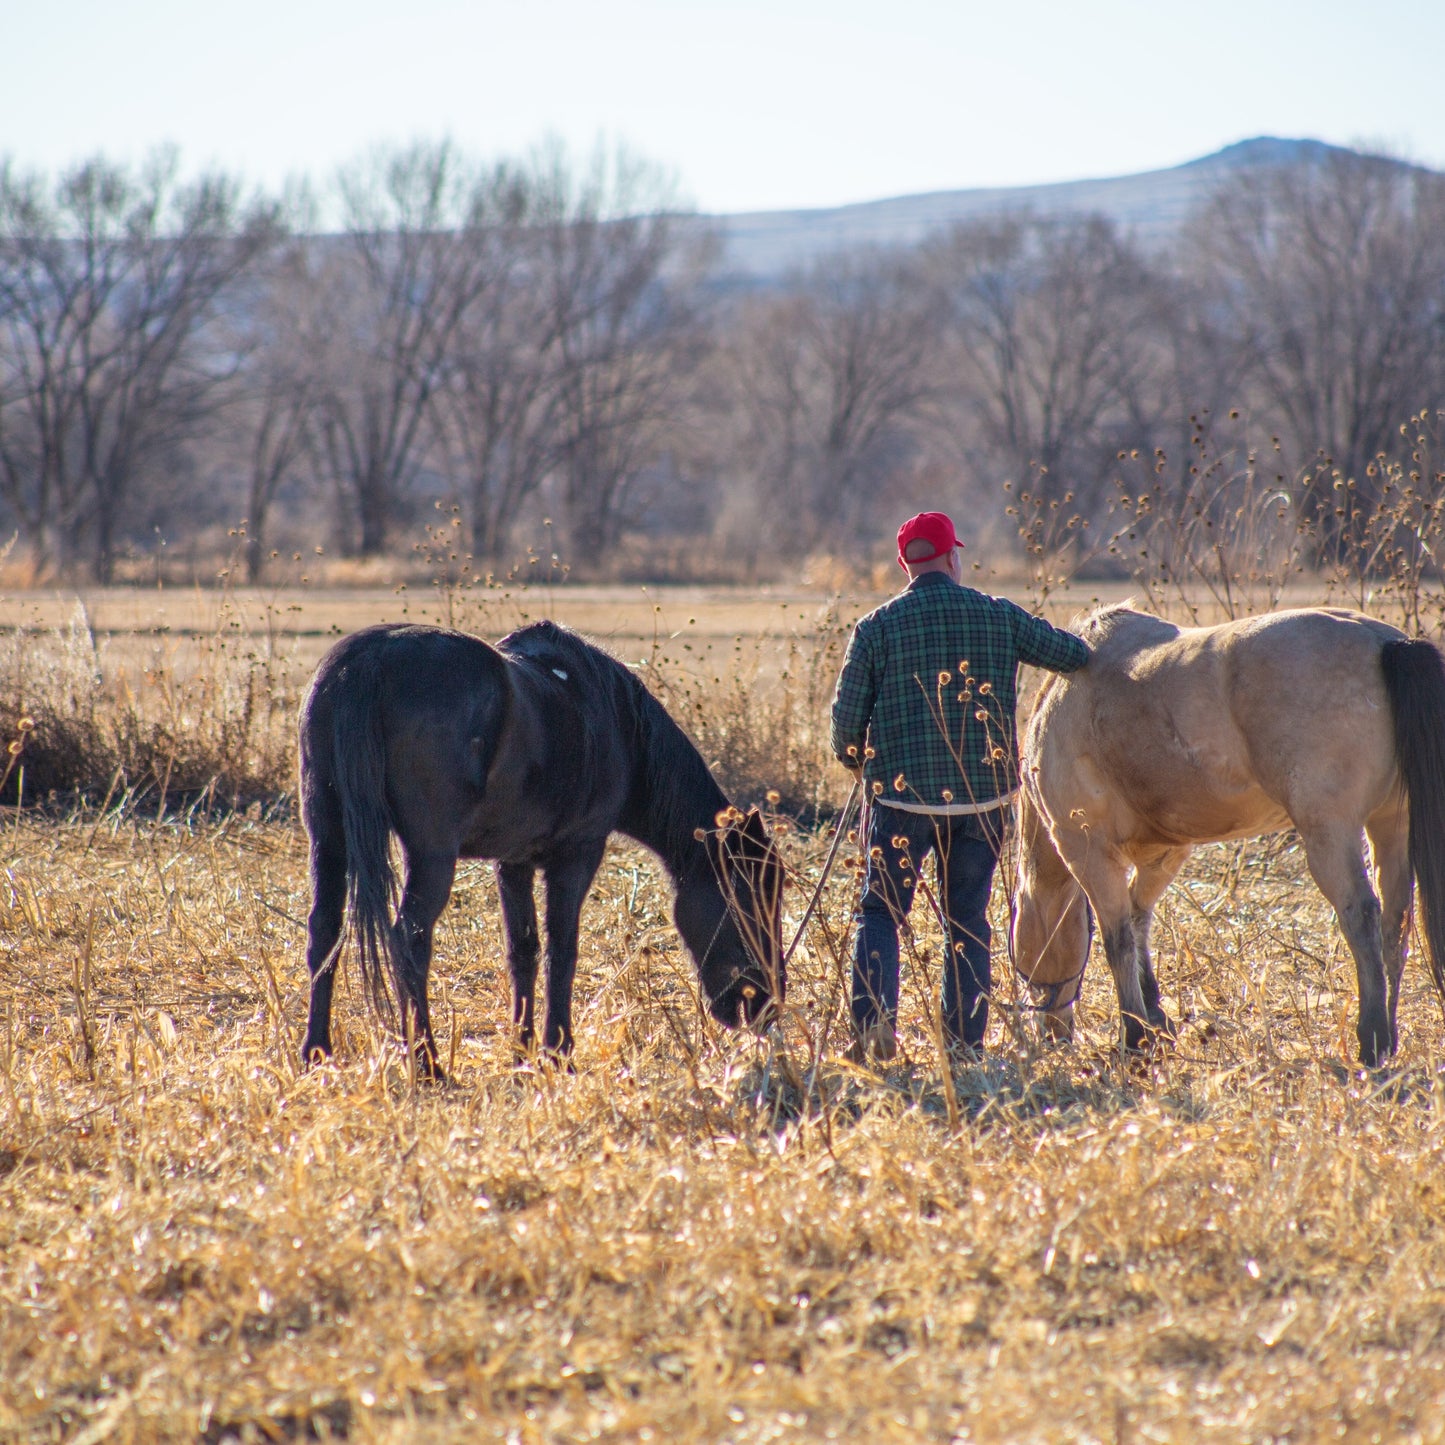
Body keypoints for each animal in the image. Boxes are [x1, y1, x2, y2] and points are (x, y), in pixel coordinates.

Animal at [298, 620, 785, 1077]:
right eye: (749, 896)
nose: (766, 1003)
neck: (614, 719)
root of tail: (367, 663)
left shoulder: (512, 861)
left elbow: (524, 950)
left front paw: (524, 1051)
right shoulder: (578, 855)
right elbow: (562, 950)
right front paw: (558, 1051)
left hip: (328, 833)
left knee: (324, 930)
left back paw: (317, 1052)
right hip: (430, 853)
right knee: (408, 941)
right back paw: (429, 1062)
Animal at [1011, 605, 1445, 1067]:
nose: (1050, 1034)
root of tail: (1386, 643)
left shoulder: (1087, 851)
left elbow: (1119, 940)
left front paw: (1134, 1037)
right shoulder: (1164, 854)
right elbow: (1139, 918)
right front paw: (1156, 1022)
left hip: (1330, 831)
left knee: (1361, 915)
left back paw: (1372, 1039)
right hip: (1390, 824)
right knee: (1395, 922)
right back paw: (1389, 1032)